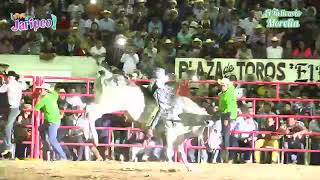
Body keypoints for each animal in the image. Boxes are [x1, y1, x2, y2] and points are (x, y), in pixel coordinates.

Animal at [86, 68, 219, 171]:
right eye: (215, 130)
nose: (214, 147)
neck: (184, 114)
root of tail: (108, 75)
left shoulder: (178, 139)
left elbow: (181, 154)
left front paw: (190, 168)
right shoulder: (169, 134)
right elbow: (169, 152)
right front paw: (172, 166)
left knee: (87, 110)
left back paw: (89, 136)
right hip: (110, 104)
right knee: (90, 111)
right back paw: (94, 138)